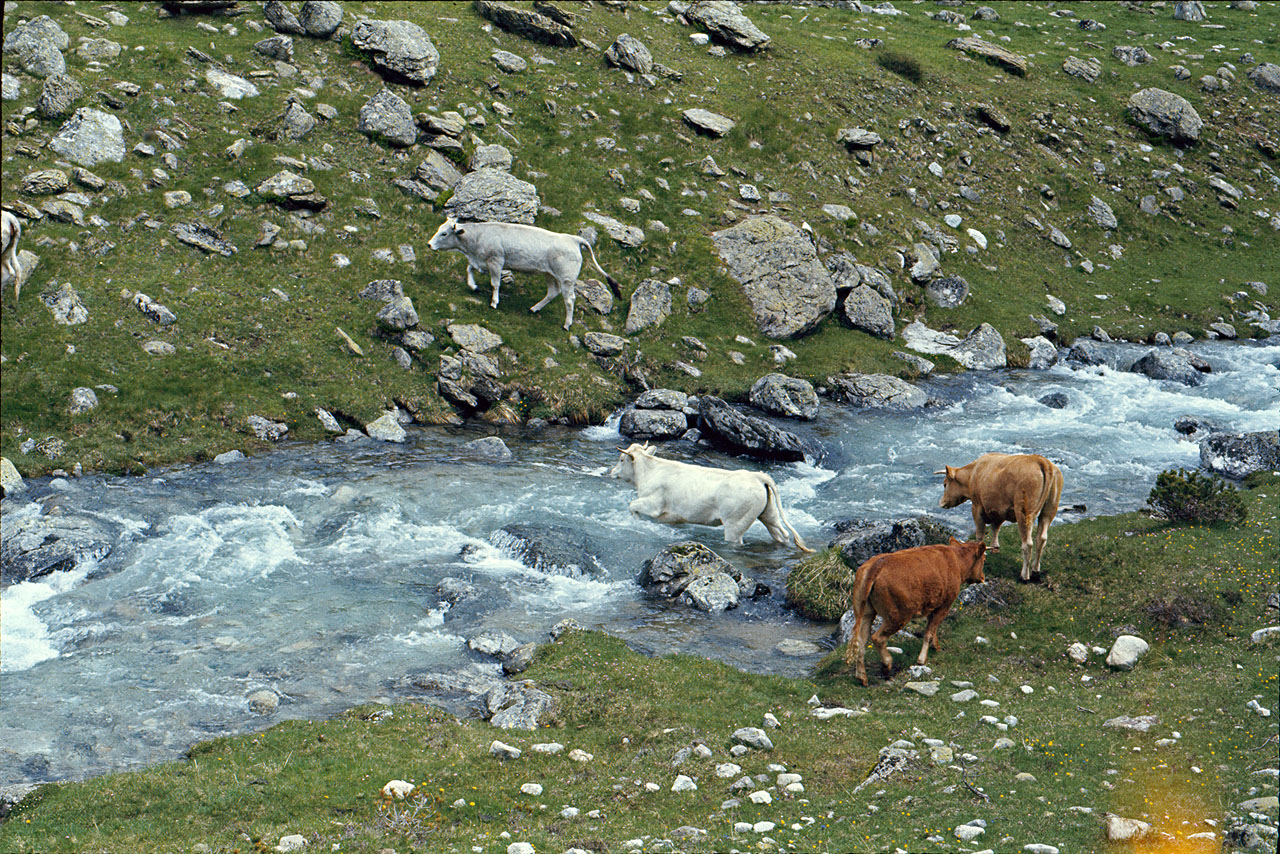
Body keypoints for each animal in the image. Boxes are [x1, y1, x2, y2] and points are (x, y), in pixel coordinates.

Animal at [427, 217, 622, 330]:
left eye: (444, 233)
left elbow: (495, 283)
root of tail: (573, 239)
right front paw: (473, 286)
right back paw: (534, 308)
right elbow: (469, 269)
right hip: (549, 274)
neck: (477, 239)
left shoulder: (496, 261)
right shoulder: (481, 260)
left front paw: (494, 302)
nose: (429, 244)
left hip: (567, 279)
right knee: (553, 292)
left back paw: (567, 324)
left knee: (569, 300)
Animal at [609, 440, 808, 555]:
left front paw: (637, 522)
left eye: (621, 459)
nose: (611, 472)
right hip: (768, 513)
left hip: (735, 524)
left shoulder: (653, 505)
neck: (649, 472)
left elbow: (632, 505)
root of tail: (757, 476)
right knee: (781, 533)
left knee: (737, 541)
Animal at [844, 540, 983, 686]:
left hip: (865, 613)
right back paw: (887, 666)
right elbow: (929, 632)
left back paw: (862, 677)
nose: (982, 578)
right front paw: (922, 660)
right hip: (898, 616)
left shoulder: (932, 606)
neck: (956, 559)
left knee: (862, 640)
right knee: (877, 638)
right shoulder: (944, 605)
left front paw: (936, 647)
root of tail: (876, 565)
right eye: (984, 558)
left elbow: (932, 629)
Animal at [936, 453, 1064, 581]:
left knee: (1028, 544)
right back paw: (1035, 571)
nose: (941, 502)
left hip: (1023, 512)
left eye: (945, 484)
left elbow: (980, 533)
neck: (973, 473)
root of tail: (1041, 460)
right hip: (1049, 510)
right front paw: (995, 548)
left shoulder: (977, 507)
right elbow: (995, 528)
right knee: (1041, 539)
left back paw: (1024, 576)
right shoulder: (998, 510)